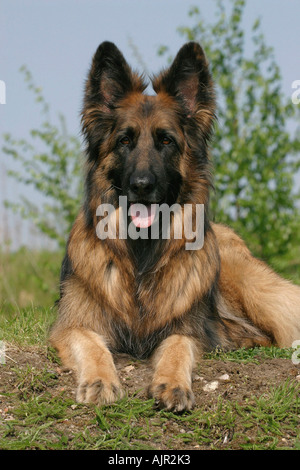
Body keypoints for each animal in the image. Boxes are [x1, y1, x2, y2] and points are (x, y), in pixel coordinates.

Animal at [49, 41, 300, 412]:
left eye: (166, 141)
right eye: (124, 141)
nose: (141, 185)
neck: (141, 254)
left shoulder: (186, 328)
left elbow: (178, 347)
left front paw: (172, 384)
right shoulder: (73, 324)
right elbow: (91, 345)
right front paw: (100, 380)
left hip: (253, 288)